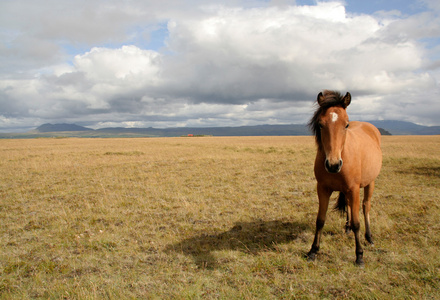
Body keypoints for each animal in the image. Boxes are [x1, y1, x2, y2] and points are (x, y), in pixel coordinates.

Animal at [306, 90, 382, 266]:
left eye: (346, 125)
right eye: (321, 124)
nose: (333, 165)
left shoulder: (354, 189)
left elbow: (357, 222)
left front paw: (359, 255)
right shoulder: (322, 189)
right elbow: (320, 220)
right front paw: (313, 251)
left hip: (370, 183)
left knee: (366, 206)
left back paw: (369, 237)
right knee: (348, 205)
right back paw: (347, 228)